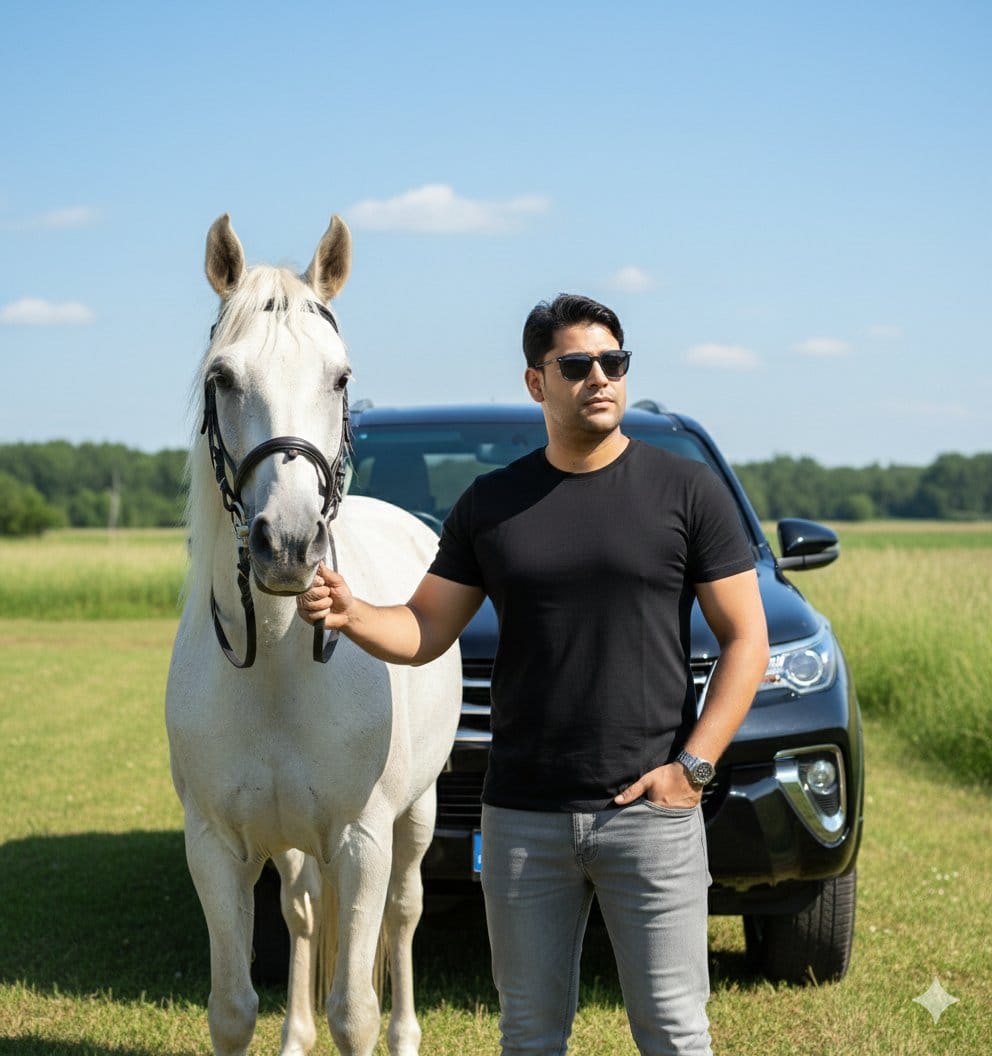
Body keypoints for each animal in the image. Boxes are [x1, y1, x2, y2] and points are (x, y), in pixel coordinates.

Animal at [166, 213, 461, 1056]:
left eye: (339, 377)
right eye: (223, 378)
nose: (290, 545)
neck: (278, 665)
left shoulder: (361, 841)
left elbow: (354, 1010)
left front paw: (374, 1027)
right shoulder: (215, 847)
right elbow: (233, 1008)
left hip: (416, 817)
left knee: (403, 915)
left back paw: (406, 1033)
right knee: (300, 910)